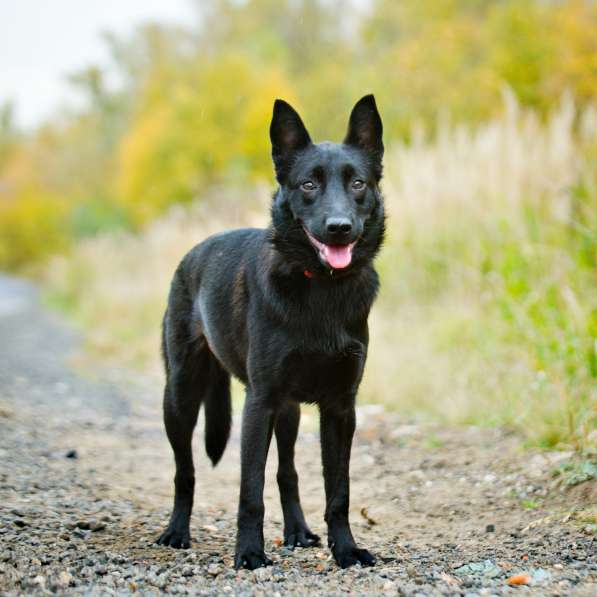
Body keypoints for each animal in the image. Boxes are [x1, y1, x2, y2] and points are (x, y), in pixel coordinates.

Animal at [156, 94, 384, 568]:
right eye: (308, 185)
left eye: (357, 183)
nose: (339, 228)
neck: (321, 288)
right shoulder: (258, 403)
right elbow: (250, 491)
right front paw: (248, 553)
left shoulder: (340, 408)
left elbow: (338, 491)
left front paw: (345, 549)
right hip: (181, 397)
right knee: (185, 471)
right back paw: (176, 530)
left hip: (290, 411)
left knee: (287, 472)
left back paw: (297, 530)